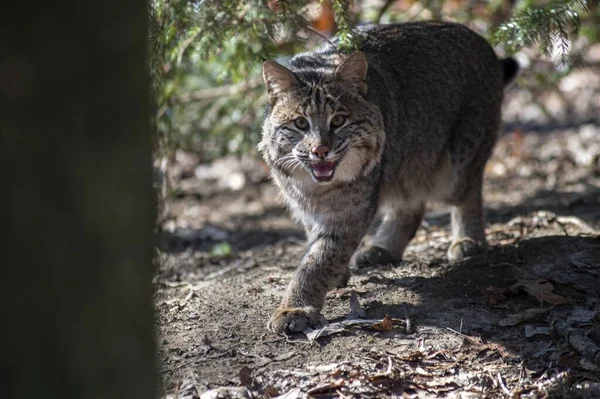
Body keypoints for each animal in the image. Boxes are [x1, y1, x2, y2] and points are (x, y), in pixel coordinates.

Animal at [260, 21, 516, 334]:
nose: (320, 150)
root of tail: (480, 39)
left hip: (459, 159)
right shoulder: (303, 202)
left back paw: (468, 240)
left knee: (468, 190)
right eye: (299, 123)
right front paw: (333, 276)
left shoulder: (349, 213)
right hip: (407, 161)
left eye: (338, 120)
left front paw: (294, 308)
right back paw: (384, 248)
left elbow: (319, 259)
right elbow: (316, 243)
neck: (317, 188)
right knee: (412, 203)